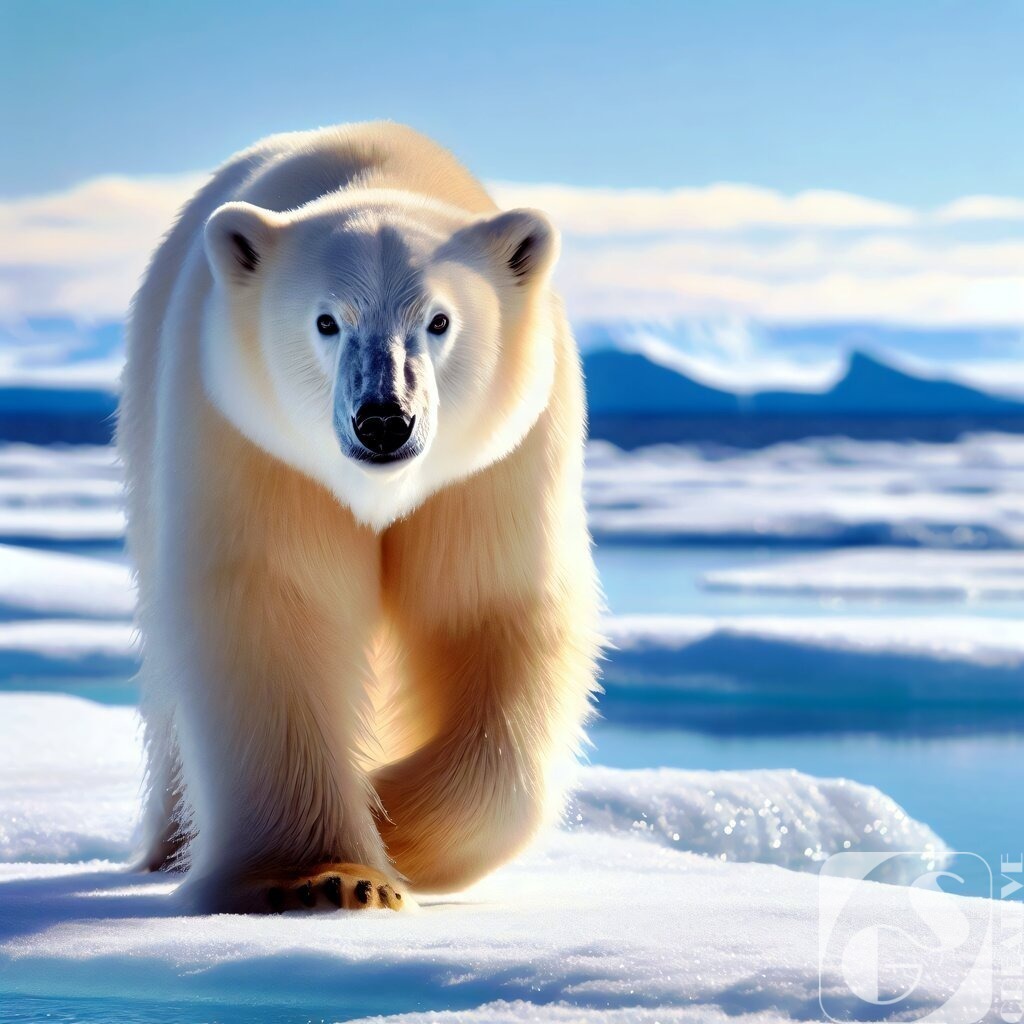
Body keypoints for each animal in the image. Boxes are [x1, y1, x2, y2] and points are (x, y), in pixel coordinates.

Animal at [117, 122, 601, 913]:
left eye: (439, 320)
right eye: (326, 321)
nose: (383, 420)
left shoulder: (494, 470)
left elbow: (489, 611)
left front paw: (389, 814)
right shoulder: (253, 444)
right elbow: (273, 606)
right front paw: (328, 877)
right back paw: (168, 845)